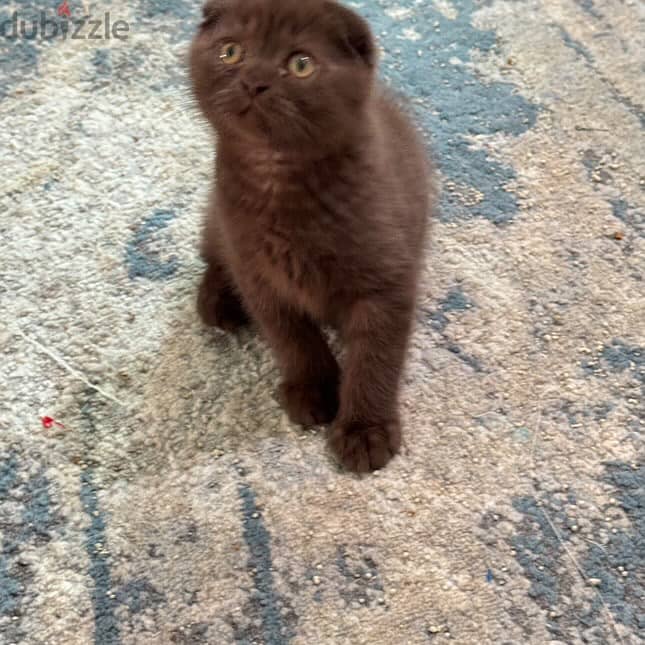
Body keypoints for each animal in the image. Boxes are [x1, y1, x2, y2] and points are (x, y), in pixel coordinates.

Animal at [189, 0, 436, 470]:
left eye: (300, 64)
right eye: (231, 51)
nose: (254, 82)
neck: (276, 176)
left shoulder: (386, 279)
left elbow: (375, 354)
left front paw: (365, 430)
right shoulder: (258, 272)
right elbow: (292, 338)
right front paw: (314, 390)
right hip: (218, 220)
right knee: (212, 252)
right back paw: (217, 300)